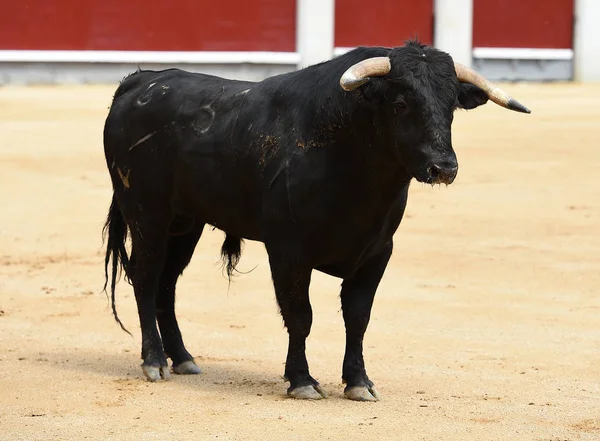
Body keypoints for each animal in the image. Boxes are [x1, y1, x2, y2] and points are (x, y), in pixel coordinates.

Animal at [103, 39, 528, 400]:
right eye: (400, 103)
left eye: (451, 105)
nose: (444, 167)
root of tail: (138, 82)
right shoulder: (288, 251)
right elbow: (300, 316)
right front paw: (302, 380)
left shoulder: (377, 253)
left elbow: (358, 317)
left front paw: (359, 382)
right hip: (147, 213)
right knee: (146, 277)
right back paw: (154, 361)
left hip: (186, 222)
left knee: (168, 283)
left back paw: (183, 359)